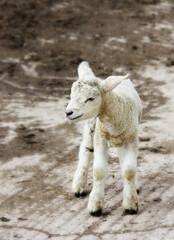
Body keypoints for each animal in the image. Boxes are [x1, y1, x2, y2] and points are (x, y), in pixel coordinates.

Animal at [66, 61, 142, 216]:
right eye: (71, 95)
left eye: (91, 98)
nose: (68, 112)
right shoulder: (100, 138)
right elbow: (99, 171)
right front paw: (95, 205)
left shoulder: (131, 139)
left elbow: (129, 170)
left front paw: (130, 203)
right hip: (90, 128)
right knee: (85, 151)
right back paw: (79, 185)